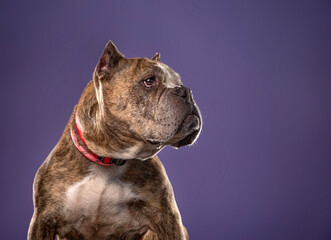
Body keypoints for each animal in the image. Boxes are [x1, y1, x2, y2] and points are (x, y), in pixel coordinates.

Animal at [28, 41, 202, 240]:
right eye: (149, 81)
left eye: (179, 83)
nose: (186, 91)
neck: (109, 158)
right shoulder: (43, 219)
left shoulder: (168, 219)